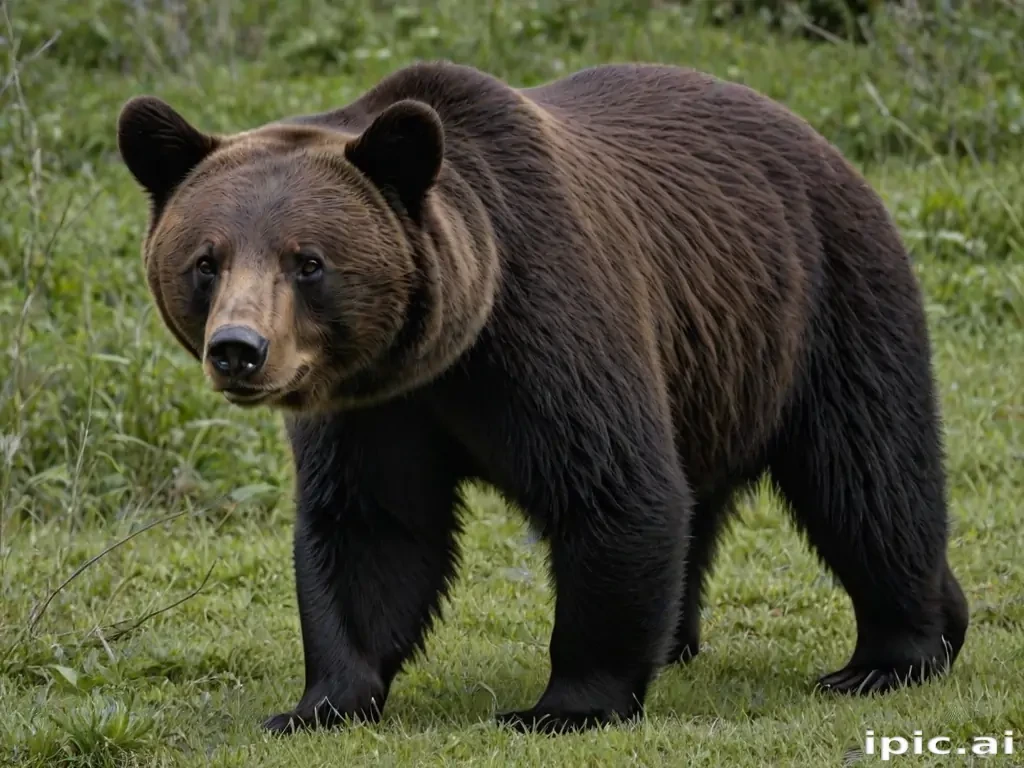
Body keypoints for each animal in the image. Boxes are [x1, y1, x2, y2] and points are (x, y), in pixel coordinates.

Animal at [115, 60, 969, 735]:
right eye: (206, 259)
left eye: (308, 261)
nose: (239, 350)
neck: (445, 350)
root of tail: (821, 142)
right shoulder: (375, 410)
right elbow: (370, 529)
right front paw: (318, 703)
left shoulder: (547, 329)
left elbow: (613, 490)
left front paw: (564, 705)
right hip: (713, 370)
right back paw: (686, 639)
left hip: (825, 303)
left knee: (868, 478)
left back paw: (896, 650)